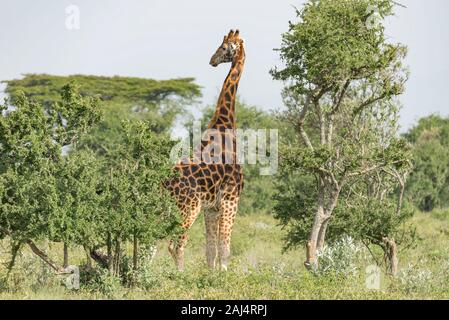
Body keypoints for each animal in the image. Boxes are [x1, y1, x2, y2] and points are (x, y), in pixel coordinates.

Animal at [165, 30, 245, 272]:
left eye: (224, 47)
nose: (212, 60)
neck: (225, 124)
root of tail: (164, 183)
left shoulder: (212, 207)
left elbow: (211, 250)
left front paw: (212, 275)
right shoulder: (231, 198)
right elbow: (225, 248)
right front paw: (224, 275)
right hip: (188, 207)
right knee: (177, 244)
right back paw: (180, 276)